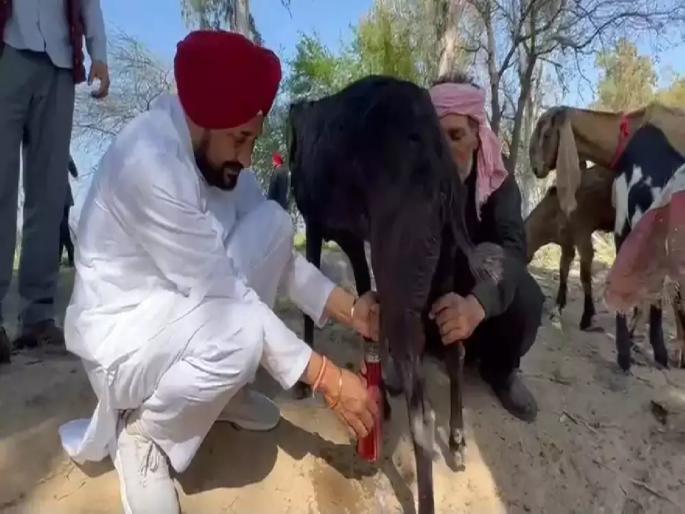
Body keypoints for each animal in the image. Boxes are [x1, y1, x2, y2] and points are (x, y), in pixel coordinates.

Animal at [287, 75, 503, 514]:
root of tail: (438, 154)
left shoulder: (316, 228)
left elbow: (311, 307)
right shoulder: (354, 243)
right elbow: (362, 300)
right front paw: (380, 395)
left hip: (401, 278)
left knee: (422, 415)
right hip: (441, 272)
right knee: (455, 351)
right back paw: (456, 441)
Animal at [525, 164, 614, 330]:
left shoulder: (583, 237)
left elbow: (584, 277)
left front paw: (587, 316)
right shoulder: (566, 243)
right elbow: (563, 272)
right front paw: (557, 308)